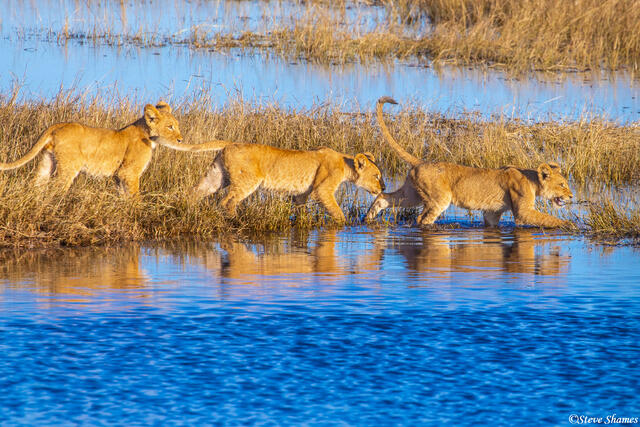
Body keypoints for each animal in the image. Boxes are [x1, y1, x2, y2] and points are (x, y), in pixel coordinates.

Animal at [0, 102, 183, 195]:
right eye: (170, 127)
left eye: (177, 125)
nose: (181, 140)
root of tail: (59, 125)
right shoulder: (128, 173)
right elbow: (134, 197)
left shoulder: (119, 176)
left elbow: (123, 196)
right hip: (69, 166)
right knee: (56, 188)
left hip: (47, 161)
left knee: (36, 183)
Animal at [158, 139, 385, 223]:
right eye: (377, 175)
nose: (383, 186)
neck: (345, 163)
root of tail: (229, 144)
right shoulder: (322, 189)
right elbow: (337, 212)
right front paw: (345, 225)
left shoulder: (301, 194)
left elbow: (299, 209)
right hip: (248, 180)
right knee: (227, 201)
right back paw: (236, 221)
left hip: (215, 178)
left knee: (194, 192)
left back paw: (186, 210)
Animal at [365, 97, 574, 228]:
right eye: (562, 184)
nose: (571, 196)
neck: (532, 180)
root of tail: (420, 161)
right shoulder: (523, 211)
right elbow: (547, 219)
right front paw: (569, 225)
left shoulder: (492, 212)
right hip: (439, 199)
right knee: (421, 219)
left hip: (412, 194)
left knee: (384, 198)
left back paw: (368, 218)